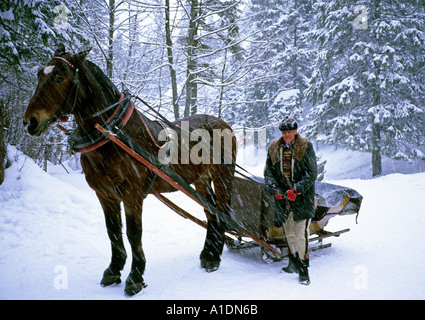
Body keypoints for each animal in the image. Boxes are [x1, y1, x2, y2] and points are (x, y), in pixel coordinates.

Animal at [23, 43, 237, 296]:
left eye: (59, 78)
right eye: (39, 75)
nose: (30, 121)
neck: (113, 135)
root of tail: (222, 123)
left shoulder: (132, 194)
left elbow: (134, 233)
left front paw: (135, 276)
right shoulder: (105, 194)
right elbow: (113, 231)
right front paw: (114, 269)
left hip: (222, 175)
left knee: (221, 210)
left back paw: (214, 257)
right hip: (200, 179)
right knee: (210, 211)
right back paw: (208, 253)